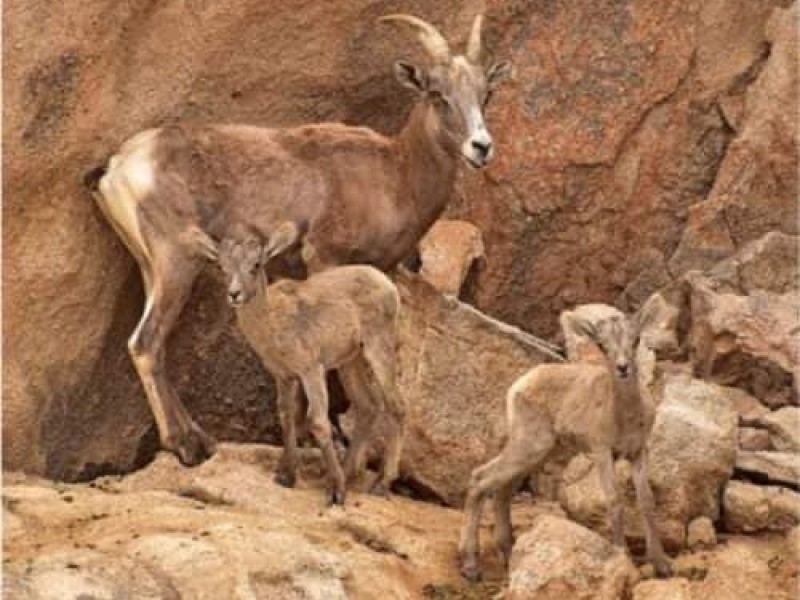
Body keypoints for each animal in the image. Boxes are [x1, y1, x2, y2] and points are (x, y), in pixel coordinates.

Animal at [87, 11, 512, 466]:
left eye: (486, 94)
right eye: (437, 93)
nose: (481, 147)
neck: (395, 177)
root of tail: (119, 166)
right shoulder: (324, 257)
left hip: (152, 268)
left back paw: (200, 438)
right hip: (177, 262)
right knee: (146, 343)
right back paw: (184, 445)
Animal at [214, 223, 406, 504]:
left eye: (256, 264)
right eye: (223, 266)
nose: (234, 294)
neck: (272, 325)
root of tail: (387, 284)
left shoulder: (311, 370)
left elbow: (318, 421)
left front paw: (336, 492)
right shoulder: (283, 376)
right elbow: (287, 416)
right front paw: (287, 476)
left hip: (377, 347)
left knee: (396, 406)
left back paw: (381, 483)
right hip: (351, 362)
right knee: (368, 406)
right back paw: (348, 472)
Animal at [460, 298, 680, 580]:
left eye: (636, 339)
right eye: (602, 344)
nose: (623, 368)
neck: (625, 418)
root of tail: (518, 386)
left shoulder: (638, 451)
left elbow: (647, 502)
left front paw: (662, 565)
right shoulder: (602, 451)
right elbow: (614, 500)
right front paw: (623, 556)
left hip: (541, 453)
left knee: (503, 489)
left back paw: (509, 554)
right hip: (529, 445)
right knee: (480, 478)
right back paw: (471, 567)